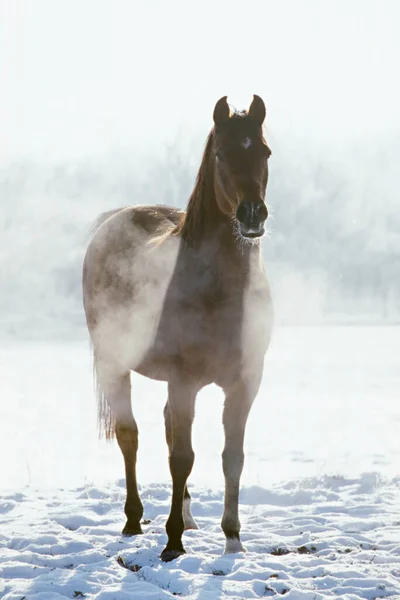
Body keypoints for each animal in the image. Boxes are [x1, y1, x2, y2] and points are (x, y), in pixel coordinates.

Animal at [82, 94, 274, 564]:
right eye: (222, 153)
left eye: (264, 152)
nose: (252, 215)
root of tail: (115, 219)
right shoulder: (184, 380)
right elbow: (181, 458)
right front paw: (171, 543)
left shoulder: (246, 382)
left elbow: (232, 456)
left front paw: (232, 538)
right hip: (115, 364)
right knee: (131, 437)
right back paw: (134, 520)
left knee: (169, 429)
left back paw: (186, 517)